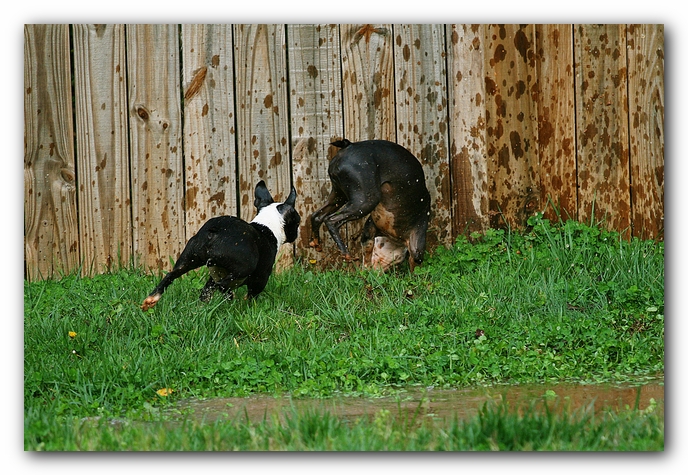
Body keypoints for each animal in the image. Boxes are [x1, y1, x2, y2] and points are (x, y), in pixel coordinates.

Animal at [141, 179, 300, 312]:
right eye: (297, 222)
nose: (297, 232)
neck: (266, 226)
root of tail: (216, 230)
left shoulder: (214, 275)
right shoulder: (261, 279)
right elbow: (252, 295)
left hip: (190, 258)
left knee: (173, 276)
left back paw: (152, 299)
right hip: (243, 267)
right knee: (222, 285)